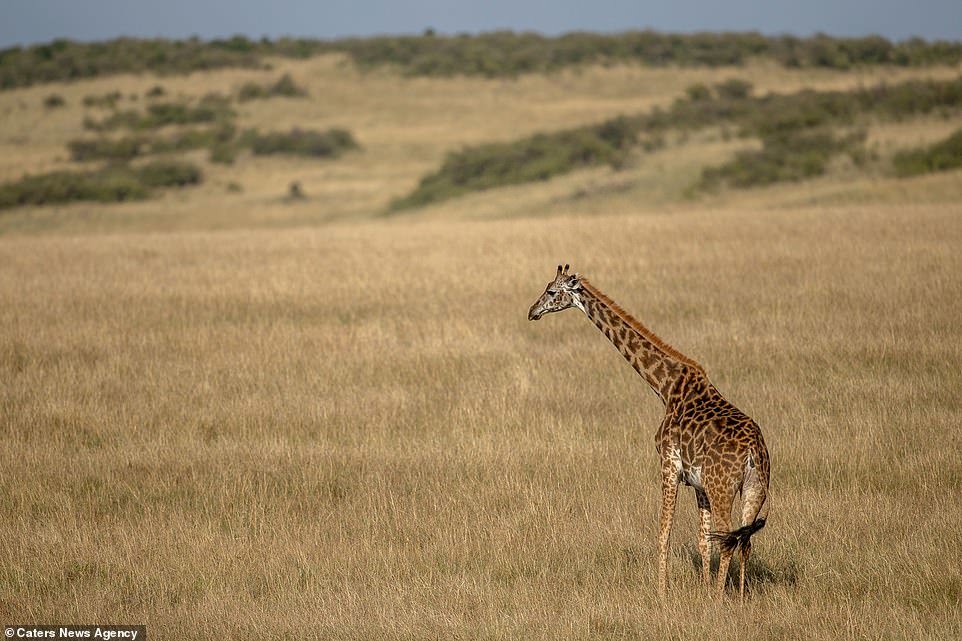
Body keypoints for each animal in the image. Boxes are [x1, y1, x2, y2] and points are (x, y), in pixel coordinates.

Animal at [528, 262, 768, 596]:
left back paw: (722, 599)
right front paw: (704, 590)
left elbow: (664, 532)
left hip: (724, 488)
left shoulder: (668, 466)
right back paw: (741, 596)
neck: (665, 386)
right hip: (754, 489)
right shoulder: (698, 484)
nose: (532, 311)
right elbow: (702, 540)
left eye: (551, 291)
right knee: (743, 541)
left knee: (729, 540)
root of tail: (753, 451)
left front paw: (663, 592)